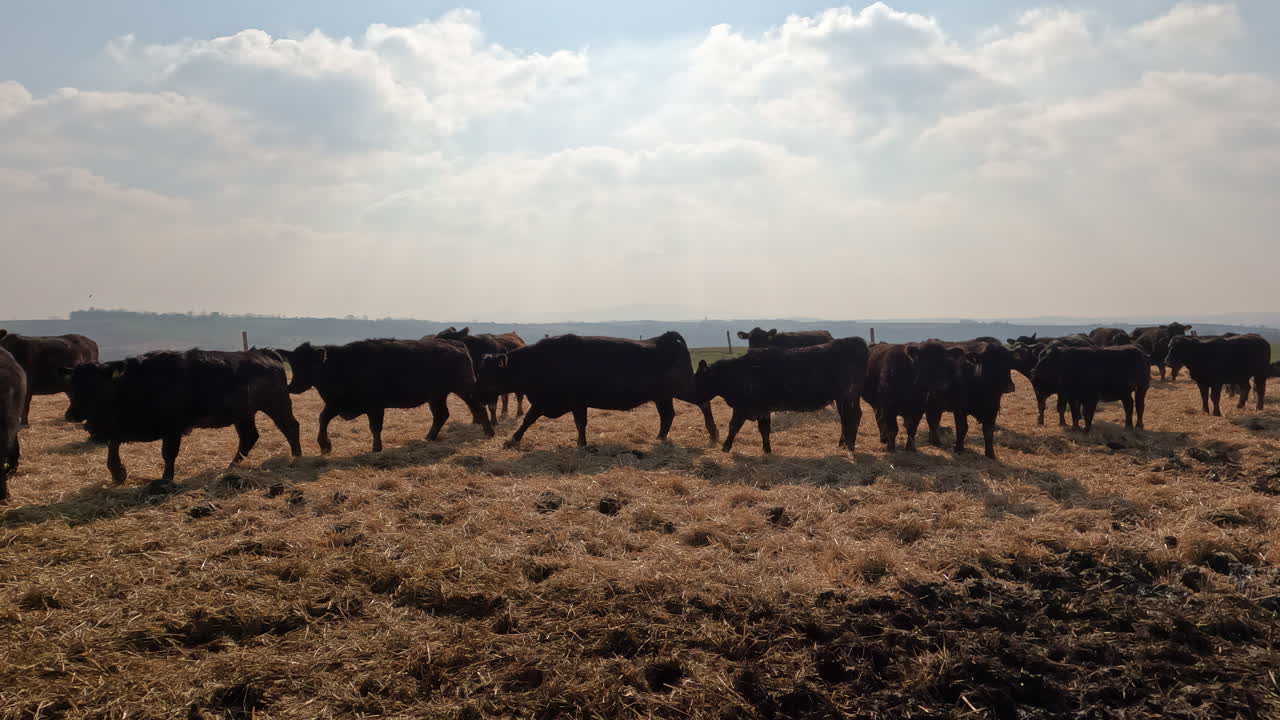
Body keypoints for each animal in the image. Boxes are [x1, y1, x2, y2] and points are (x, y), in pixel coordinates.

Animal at [62, 349, 302, 486]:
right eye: (72, 385)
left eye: (96, 385)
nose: (71, 415)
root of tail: (266, 355)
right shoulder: (123, 427)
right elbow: (113, 445)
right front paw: (118, 473)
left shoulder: (172, 429)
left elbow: (168, 454)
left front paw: (166, 479)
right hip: (244, 415)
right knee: (249, 437)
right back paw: (231, 467)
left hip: (276, 406)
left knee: (290, 427)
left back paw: (296, 458)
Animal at [279, 338, 493, 454]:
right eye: (294, 364)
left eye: (309, 364)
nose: (292, 386)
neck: (339, 365)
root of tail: (454, 343)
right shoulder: (336, 403)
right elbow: (323, 418)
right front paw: (325, 446)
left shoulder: (374, 406)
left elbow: (375, 427)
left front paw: (376, 447)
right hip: (437, 396)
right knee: (441, 415)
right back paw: (428, 437)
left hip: (464, 388)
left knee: (478, 407)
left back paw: (489, 432)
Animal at [475, 332, 717, 449]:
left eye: (487, 374)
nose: (476, 396)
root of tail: (667, 338)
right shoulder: (549, 402)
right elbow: (530, 419)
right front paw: (513, 440)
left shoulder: (571, 402)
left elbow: (575, 423)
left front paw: (581, 444)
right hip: (662, 396)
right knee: (668, 415)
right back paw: (659, 438)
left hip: (682, 388)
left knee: (703, 402)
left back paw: (713, 433)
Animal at [693, 337, 868, 454]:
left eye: (699, 379)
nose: (694, 397)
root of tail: (855, 341)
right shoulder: (762, 409)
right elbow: (764, 429)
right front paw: (767, 450)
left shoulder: (743, 408)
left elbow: (733, 427)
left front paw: (725, 447)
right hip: (842, 398)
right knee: (845, 419)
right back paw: (842, 444)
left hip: (850, 395)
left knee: (854, 416)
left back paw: (850, 447)